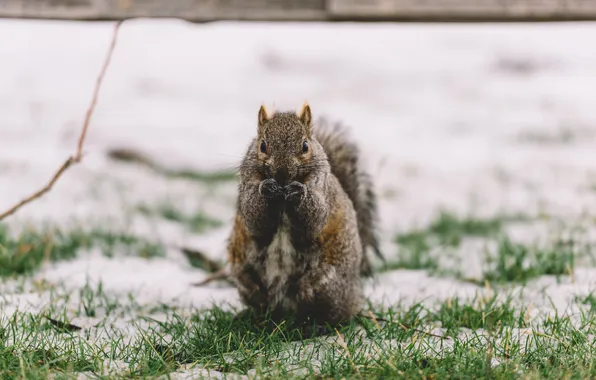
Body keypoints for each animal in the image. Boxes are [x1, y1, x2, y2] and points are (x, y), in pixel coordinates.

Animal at [226, 102, 384, 328]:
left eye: (305, 146)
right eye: (262, 146)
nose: (282, 174)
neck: (282, 200)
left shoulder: (323, 192)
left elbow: (315, 217)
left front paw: (298, 192)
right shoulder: (247, 187)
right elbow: (254, 217)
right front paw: (267, 189)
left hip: (325, 286)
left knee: (335, 313)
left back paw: (317, 326)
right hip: (246, 277)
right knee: (263, 304)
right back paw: (253, 317)